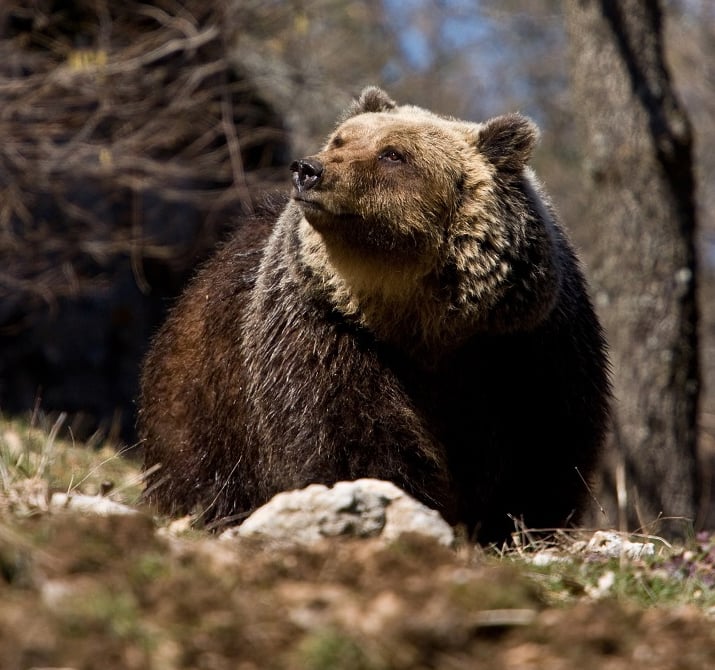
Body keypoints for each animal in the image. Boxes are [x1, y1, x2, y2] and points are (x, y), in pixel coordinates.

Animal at [138, 86, 610, 544]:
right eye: (341, 139)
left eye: (392, 153)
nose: (308, 169)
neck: (423, 321)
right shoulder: (325, 329)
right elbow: (346, 429)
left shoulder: (525, 340)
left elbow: (544, 444)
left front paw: (518, 525)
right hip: (204, 391)